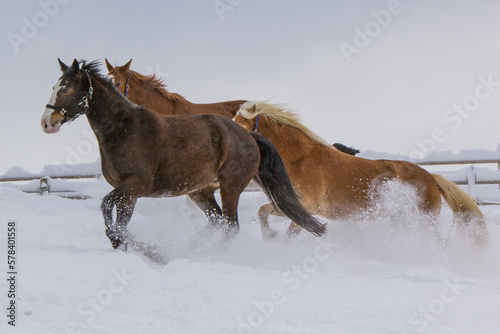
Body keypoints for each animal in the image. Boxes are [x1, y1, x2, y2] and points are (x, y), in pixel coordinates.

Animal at [41, 58, 326, 254]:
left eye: (65, 89)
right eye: (53, 86)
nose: (46, 123)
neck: (124, 129)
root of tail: (248, 135)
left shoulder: (134, 186)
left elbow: (105, 205)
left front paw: (118, 241)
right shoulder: (129, 193)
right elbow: (120, 220)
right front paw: (121, 245)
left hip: (230, 187)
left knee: (230, 226)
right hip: (200, 191)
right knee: (216, 222)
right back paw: (192, 248)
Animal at [232, 100, 490, 247]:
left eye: (240, 123)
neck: (301, 158)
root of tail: (431, 178)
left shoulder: (306, 207)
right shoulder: (291, 205)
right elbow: (262, 213)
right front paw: (269, 237)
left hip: (422, 222)